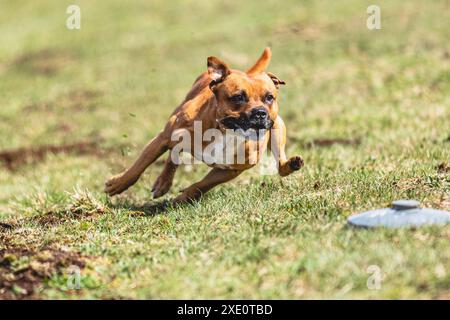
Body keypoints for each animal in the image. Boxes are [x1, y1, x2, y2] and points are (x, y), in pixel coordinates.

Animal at [104, 47, 302, 202]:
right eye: (238, 97)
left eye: (269, 97)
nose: (260, 113)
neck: (227, 132)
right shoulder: (163, 138)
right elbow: (138, 167)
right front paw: (117, 184)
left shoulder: (229, 170)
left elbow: (203, 184)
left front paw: (183, 198)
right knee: (172, 154)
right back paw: (162, 183)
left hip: (277, 129)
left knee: (281, 162)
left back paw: (291, 164)